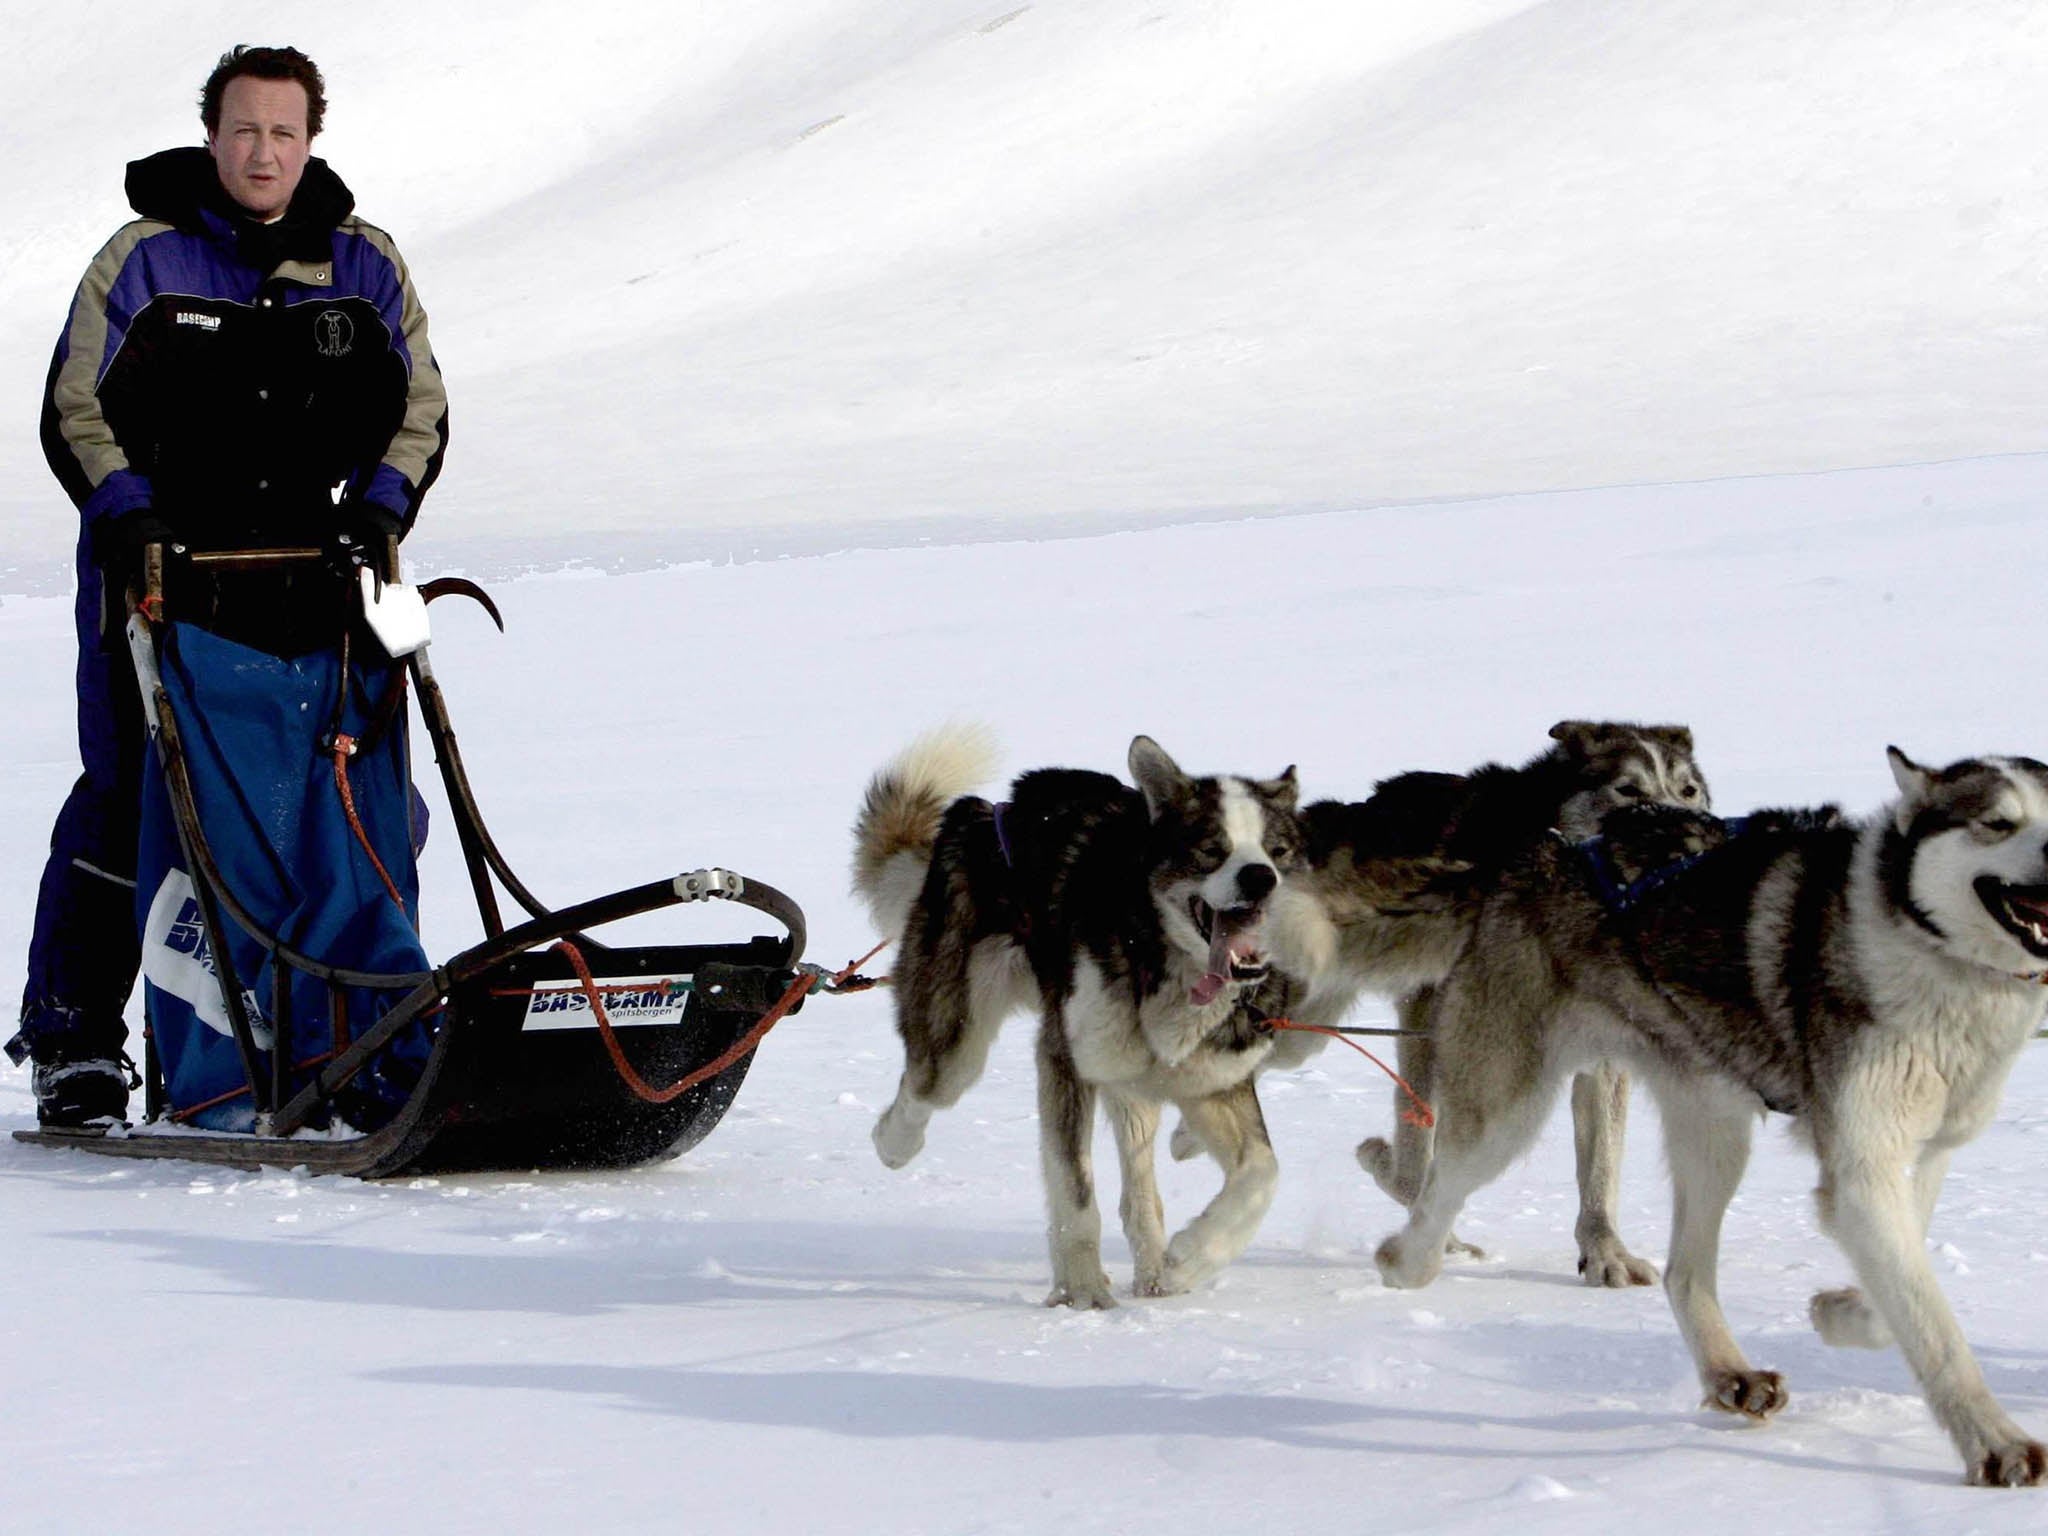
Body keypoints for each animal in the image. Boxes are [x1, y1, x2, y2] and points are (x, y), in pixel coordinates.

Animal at [851, 733, 1302, 1310]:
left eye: (1278, 851)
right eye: (1211, 848)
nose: (1261, 877)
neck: (1165, 963)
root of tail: (982, 813)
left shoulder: (1215, 1083)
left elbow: (1263, 1173)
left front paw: (1191, 1258)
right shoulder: (1065, 1060)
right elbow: (1075, 1190)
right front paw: (1082, 1294)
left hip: (1133, 1078)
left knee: (1140, 1193)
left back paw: (1155, 1275)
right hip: (958, 1040)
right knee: (924, 1086)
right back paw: (894, 1142)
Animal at [1269, 724, 1703, 1286]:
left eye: (1688, 791)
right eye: (1627, 790)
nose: (1687, 832)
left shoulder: (1604, 1049)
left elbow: (1601, 1164)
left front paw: (1604, 1250)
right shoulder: (1432, 1021)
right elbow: (1415, 1158)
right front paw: (1394, 1178)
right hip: (1294, 1028)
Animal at [1368, 753, 2048, 1482]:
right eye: (1998, 822)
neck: (1932, 956)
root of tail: (1539, 846)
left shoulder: (1923, 1151)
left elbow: (1900, 1287)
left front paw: (1841, 1313)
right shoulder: (1863, 1168)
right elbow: (1935, 1326)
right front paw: (1996, 1442)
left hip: (1715, 1129)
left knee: (1684, 1272)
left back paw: (1731, 1375)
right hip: (1509, 1111)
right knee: (1434, 1193)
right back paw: (1400, 1252)